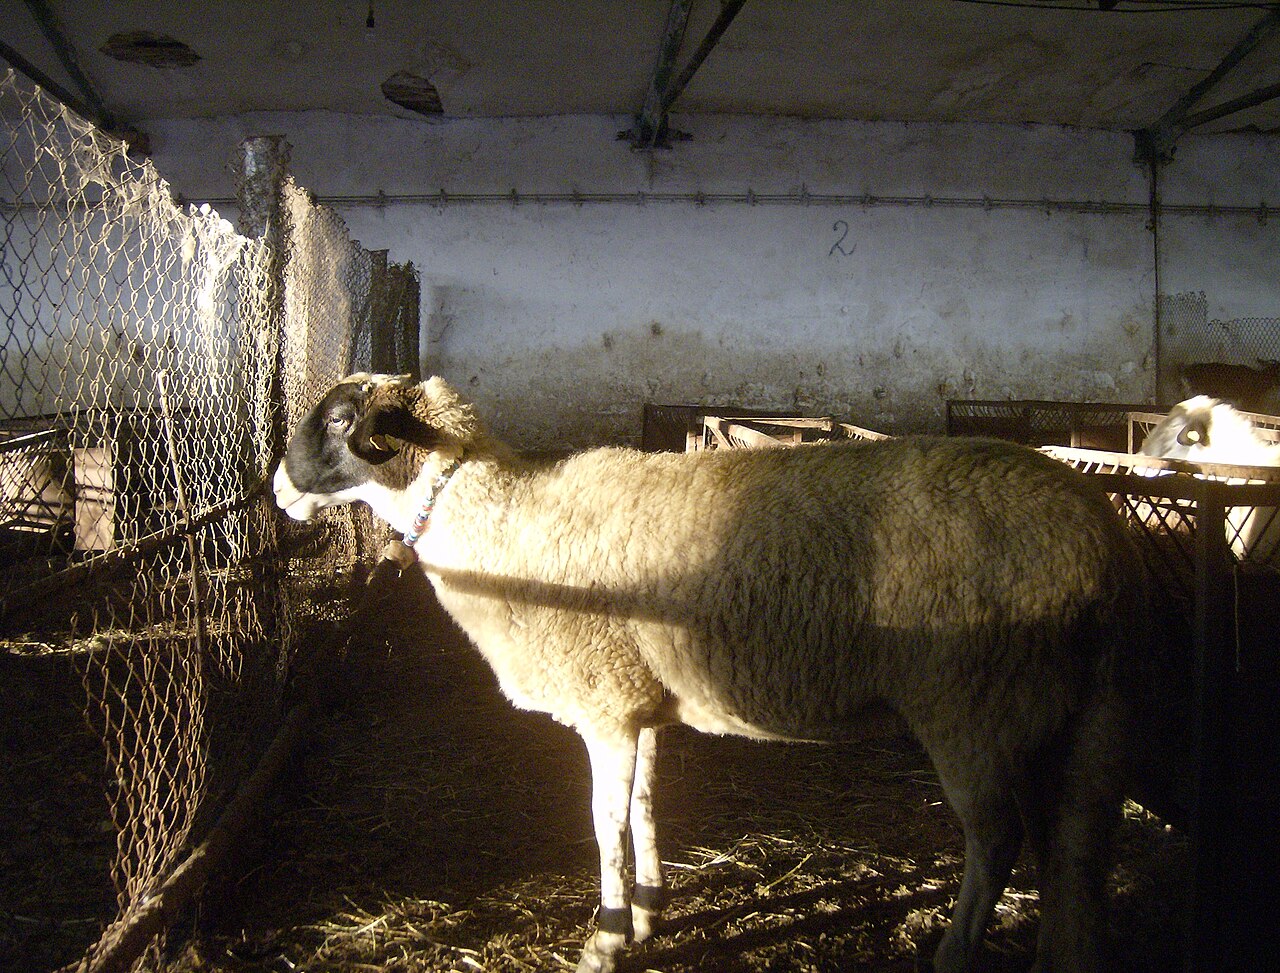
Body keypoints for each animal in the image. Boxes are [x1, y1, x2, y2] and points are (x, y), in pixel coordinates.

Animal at [274, 373, 1147, 973]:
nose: (278, 486)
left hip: (972, 703)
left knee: (997, 840)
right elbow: (646, 804)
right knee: (1063, 840)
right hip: (1059, 709)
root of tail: (1103, 541)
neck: (501, 519)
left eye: (341, 420)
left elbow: (606, 822)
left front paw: (607, 936)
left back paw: (954, 953)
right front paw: (650, 908)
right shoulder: (637, 699)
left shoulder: (602, 702)